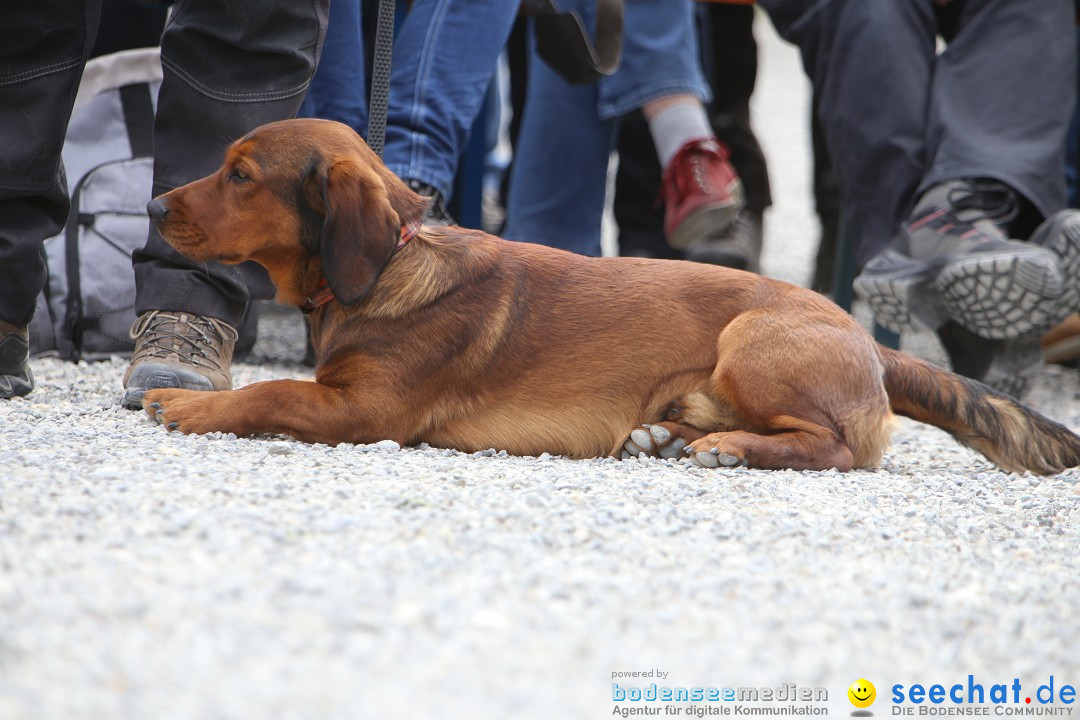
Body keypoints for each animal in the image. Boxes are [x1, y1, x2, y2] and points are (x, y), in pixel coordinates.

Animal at [141, 118, 1080, 474]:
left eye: (240, 174)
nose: (149, 207)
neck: (395, 266)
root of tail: (866, 336)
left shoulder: (364, 411)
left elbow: (270, 391)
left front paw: (188, 406)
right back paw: (670, 436)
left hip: (751, 341)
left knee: (837, 447)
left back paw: (725, 449)